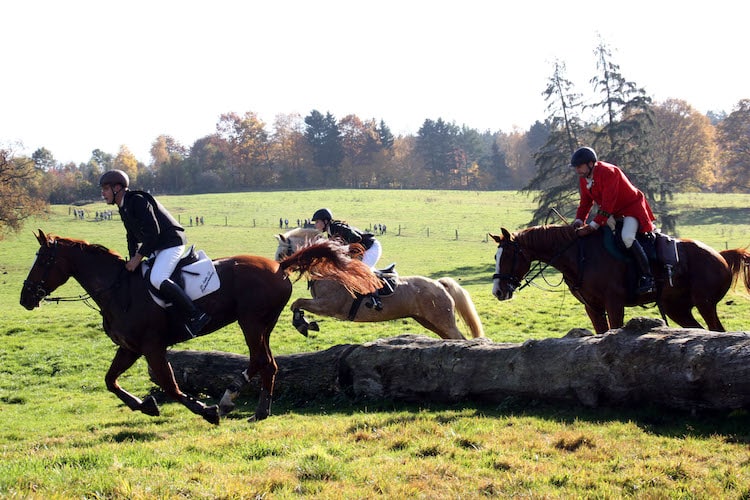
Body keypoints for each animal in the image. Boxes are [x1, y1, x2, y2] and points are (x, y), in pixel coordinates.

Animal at [19, 229, 382, 422]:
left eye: (44, 260)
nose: (25, 298)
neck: (118, 290)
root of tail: (279, 266)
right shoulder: (130, 348)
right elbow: (110, 381)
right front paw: (144, 405)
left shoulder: (152, 347)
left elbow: (169, 384)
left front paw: (204, 410)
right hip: (260, 324)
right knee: (267, 363)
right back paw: (254, 408)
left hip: (251, 322)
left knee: (261, 361)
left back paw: (233, 401)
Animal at [278, 228, 488, 340]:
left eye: (281, 252)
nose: (279, 271)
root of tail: (438, 283)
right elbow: (296, 304)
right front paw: (304, 323)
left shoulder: (328, 305)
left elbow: (297, 302)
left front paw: (303, 324)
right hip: (428, 320)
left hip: (441, 319)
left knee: (458, 338)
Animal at [494, 227, 750, 336]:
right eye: (495, 257)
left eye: (507, 257)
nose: (498, 291)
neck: (580, 255)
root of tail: (720, 255)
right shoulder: (593, 307)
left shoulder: (614, 304)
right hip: (676, 308)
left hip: (704, 303)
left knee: (717, 331)